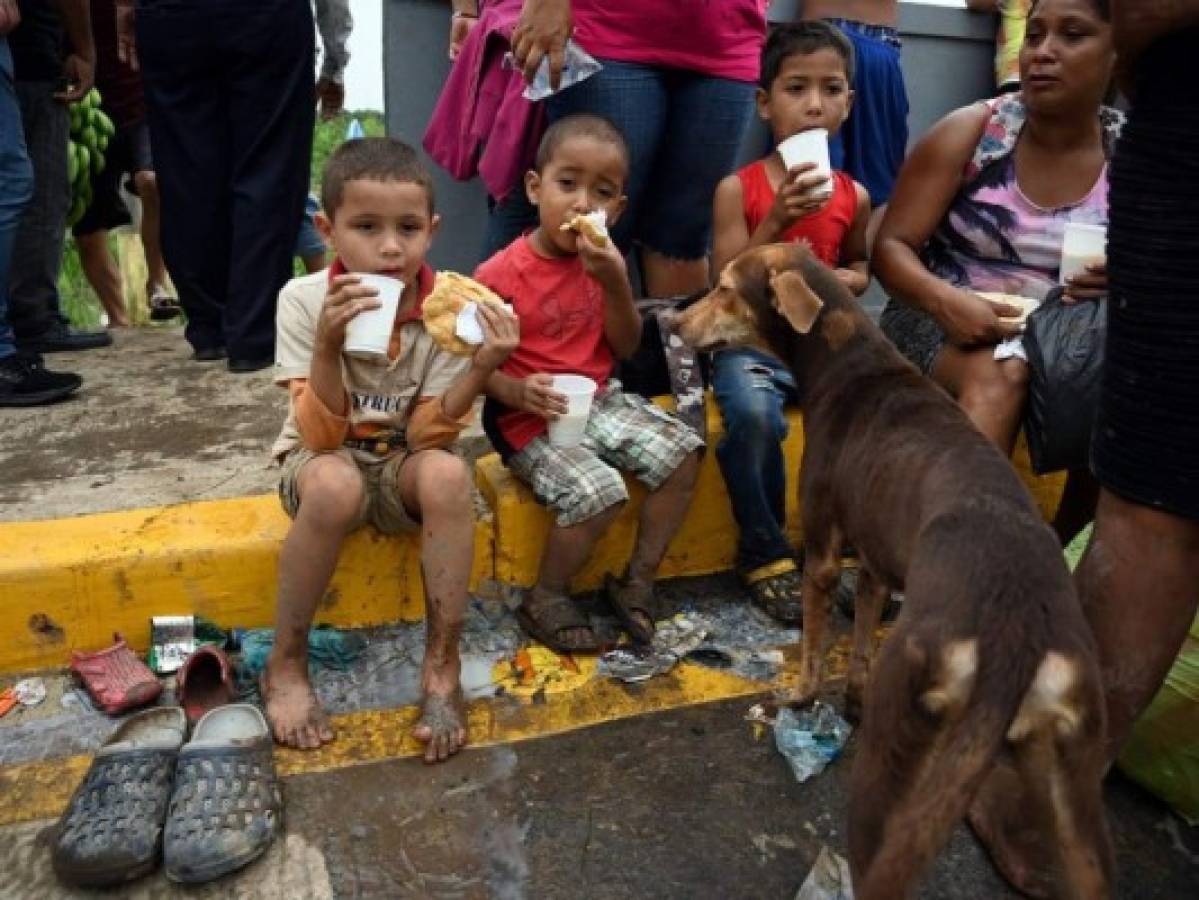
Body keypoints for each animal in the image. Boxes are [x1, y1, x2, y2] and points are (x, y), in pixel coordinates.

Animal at [676, 244, 1112, 900]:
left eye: (725, 288)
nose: (675, 323)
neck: (850, 361)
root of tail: (1016, 638)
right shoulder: (876, 564)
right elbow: (858, 644)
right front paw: (849, 697)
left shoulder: (824, 555)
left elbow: (813, 646)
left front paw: (800, 697)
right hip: (1074, 792)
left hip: (894, 755)